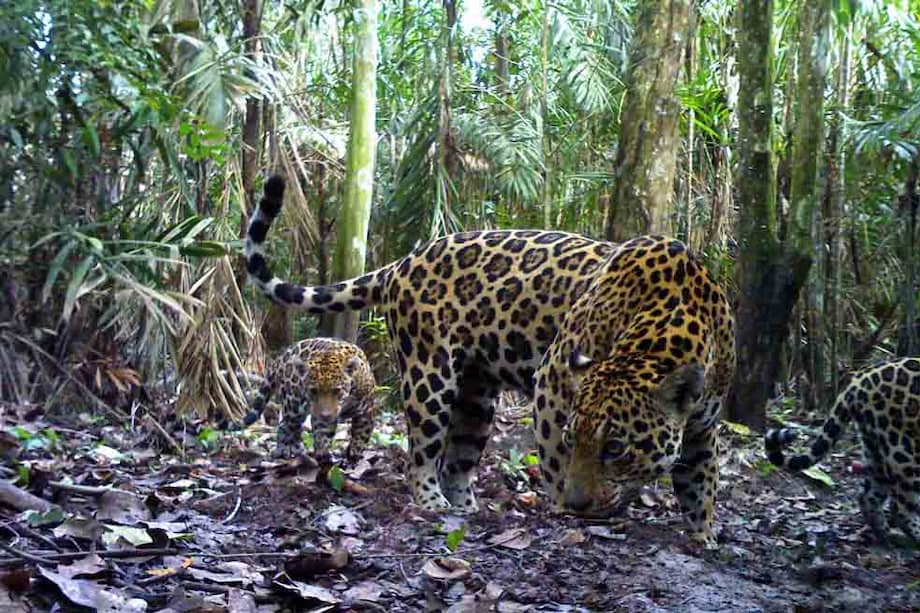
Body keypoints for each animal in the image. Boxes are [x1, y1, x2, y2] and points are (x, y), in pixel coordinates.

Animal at [243, 337, 377, 461]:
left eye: (337, 390)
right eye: (313, 391)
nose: (325, 414)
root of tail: (281, 356)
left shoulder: (366, 410)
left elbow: (362, 432)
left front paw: (355, 452)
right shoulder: (319, 415)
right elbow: (322, 432)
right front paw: (322, 452)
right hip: (293, 405)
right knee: (286, 425)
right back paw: (286, 449)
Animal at [765, 357, 920, 543]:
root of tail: (861, 379)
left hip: (876, 445)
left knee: (868, 496)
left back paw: (883, 533)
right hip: (903, 450)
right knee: (900, 508)